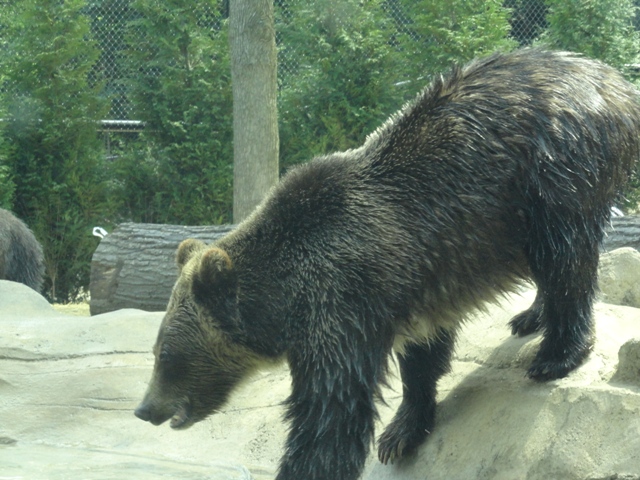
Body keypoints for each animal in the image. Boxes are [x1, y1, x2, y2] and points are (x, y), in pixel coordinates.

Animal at [135, 48, 640, 480]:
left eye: (165, 354)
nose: (145, 409)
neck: (285, 299)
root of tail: (613, 80)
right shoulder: (414, 283)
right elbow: (421, 358)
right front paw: (401, 433)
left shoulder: (342, 304)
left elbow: (330, 415)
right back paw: (530, 315)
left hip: (553, 173)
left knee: (566, 257)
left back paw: (556, 353)